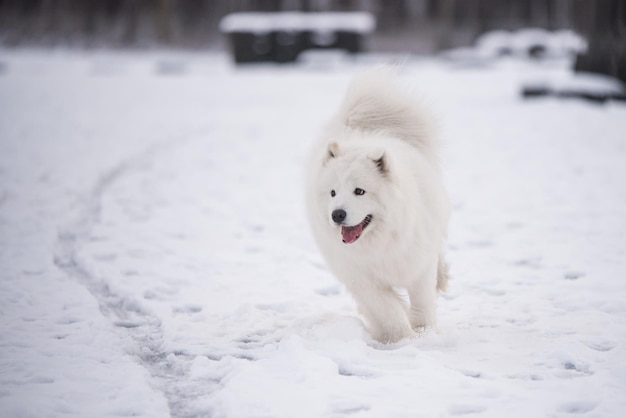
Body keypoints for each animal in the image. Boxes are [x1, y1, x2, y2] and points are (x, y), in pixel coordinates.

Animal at [306, 68, 448, 342]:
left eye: (359, 191)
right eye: (332, 193)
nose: (337, 214)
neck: (380, 243)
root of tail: (359, 132)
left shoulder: (418, 264)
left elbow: (422, 301)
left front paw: (423, 333)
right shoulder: (362, 278)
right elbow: (387, 309)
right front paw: (402, 338)